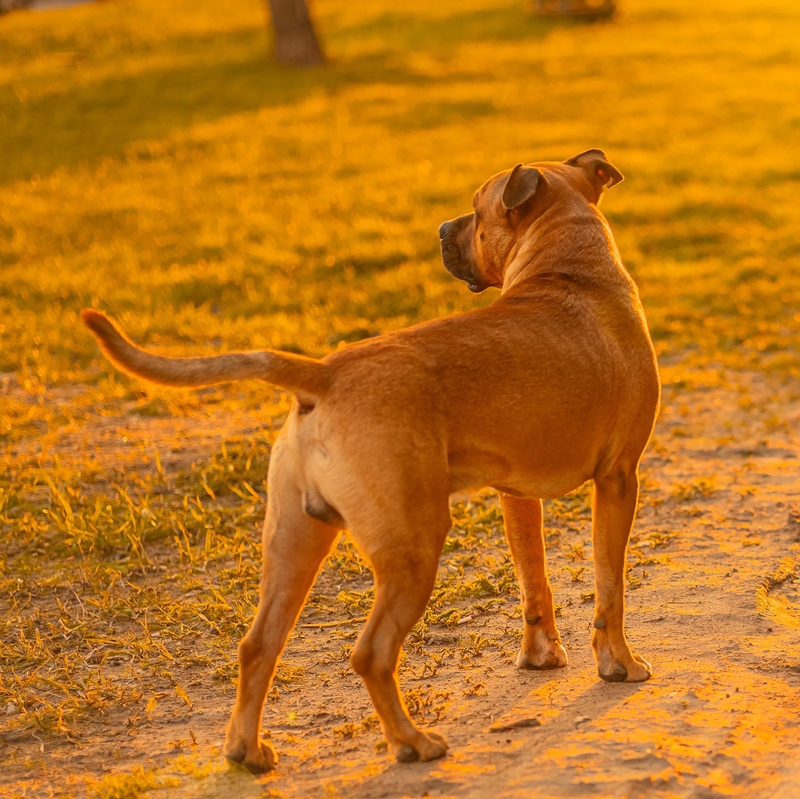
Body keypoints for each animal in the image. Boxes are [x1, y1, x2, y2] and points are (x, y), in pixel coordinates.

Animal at [81, 150, 660, 776]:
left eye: (474, 212)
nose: (440, 228)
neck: (571, 266)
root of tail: (325, 373)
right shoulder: (618, 479)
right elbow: (610, 586)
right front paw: (619, 664)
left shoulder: (517, 495)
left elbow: (535, 583)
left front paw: (541, 657)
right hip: (412, 550)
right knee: (371, 654)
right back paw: (412, 742)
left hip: (294, 546)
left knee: (258, 646)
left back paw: (247, 751)